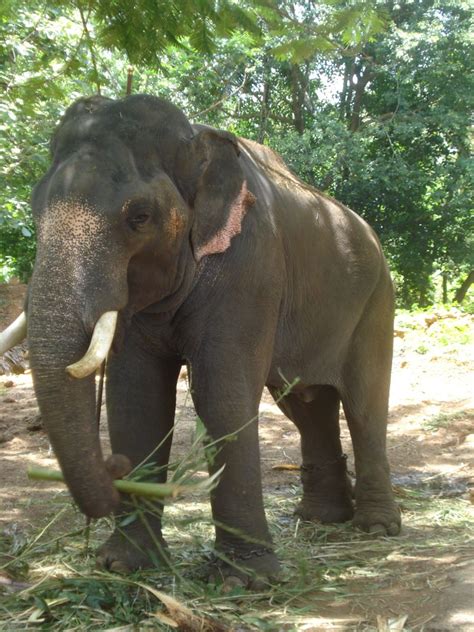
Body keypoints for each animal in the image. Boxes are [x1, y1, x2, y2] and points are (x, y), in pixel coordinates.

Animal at [0, 96, 400, 592]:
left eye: (139, 217)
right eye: (35, 211)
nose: (113, 467)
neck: (197, 142)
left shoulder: (250, 268)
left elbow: (221, 392)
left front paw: (244, 582)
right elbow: (135, 396)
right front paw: (124, 566)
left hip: (377, 302)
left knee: (364, 404)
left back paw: (377, 527)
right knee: (307, 404)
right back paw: (320, 519)